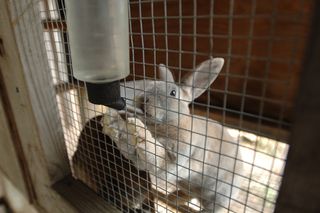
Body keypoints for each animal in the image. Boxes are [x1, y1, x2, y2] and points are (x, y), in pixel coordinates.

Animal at [102, 57, 242, 211]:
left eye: (173, 93)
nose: (143, 98)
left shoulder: (174, 158)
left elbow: (155, 152)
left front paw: (138, 129)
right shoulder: (139, 160)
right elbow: (130, 149)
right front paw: (113, 123)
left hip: (222, 196)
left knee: (214, 207)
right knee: (190, 194)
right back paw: (173, 198)